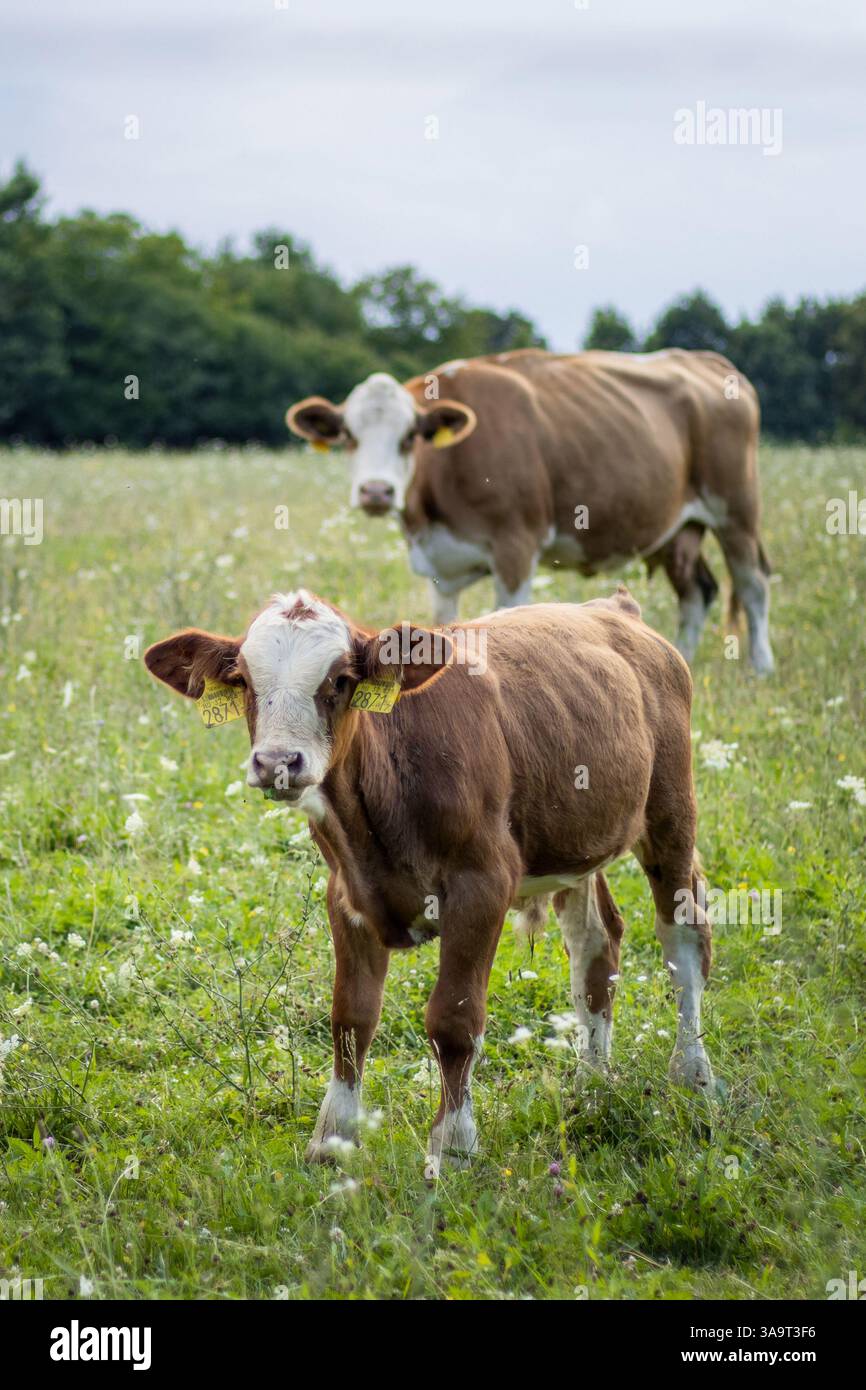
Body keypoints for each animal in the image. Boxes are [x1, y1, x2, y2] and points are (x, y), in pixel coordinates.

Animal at [144, 586, 714, 1177]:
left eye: (340, 680)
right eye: (245, 681)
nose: (278, 761)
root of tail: (612, 607)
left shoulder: (482, 885)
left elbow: (454, 1022)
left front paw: (454, 1146)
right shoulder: (345, 893)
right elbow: (351, 1018)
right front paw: (333, 1139)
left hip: (671, 810)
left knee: (684, 940)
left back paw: (692, 1076)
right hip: (576, 841)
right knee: (596, 949)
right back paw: (592, 1086)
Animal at [286, 348, 774, 673]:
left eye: (410, 437)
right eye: (349, 436)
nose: (376, 491)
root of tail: (707, 359)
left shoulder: (516, 547)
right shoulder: (442, 567)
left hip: (737, 510)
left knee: (752, 585)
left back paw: (761, 666)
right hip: (679, 529)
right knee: (697, 592)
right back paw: (681, 657)